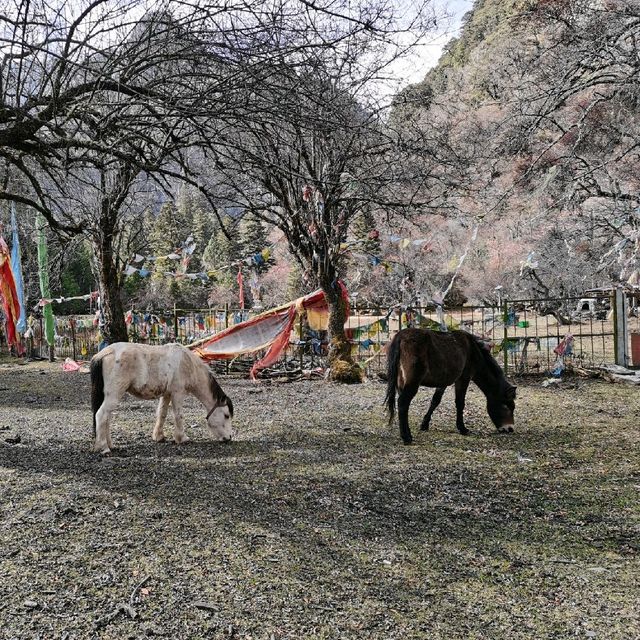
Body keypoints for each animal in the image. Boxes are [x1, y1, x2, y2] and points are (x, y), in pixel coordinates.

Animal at [89, 342, 231, 452]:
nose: (229, 438)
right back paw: (104, 448)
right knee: (101, 415)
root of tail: (102, 354)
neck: (187, 363)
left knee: (106, 418)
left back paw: (110, 445)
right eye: (226, 416)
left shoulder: (167, 394)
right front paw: (182, 438)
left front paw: (159, 436)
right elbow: (178, 415)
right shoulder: (177, 393)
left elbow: (162, 414)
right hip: (114, 394)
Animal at [384, 328, 516, 442]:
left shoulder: (443, 382)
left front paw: (425, 424)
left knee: (404, 406)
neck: (473, 351)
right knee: (402, 403)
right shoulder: (464, 378)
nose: (510, 429)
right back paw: (406, 437)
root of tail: (400, 337)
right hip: (413, 381)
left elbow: (435, 401)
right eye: (506, 406)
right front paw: (462, 428)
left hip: (402, 381)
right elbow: (460, 403)